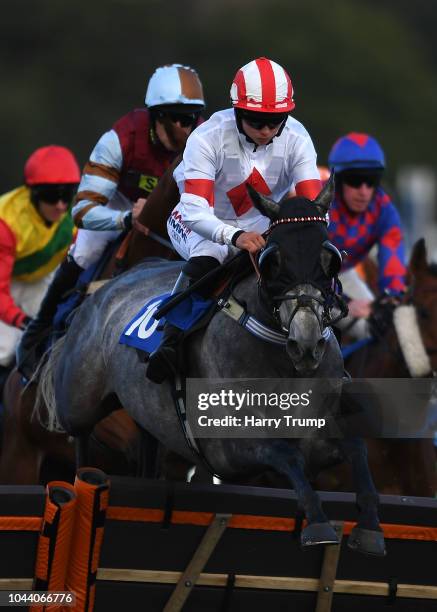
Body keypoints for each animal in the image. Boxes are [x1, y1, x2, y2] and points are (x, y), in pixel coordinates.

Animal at [37, 179, 384, 556]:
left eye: (330, 258)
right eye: (272, 260)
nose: (306, 344)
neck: (285, 365)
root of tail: (102, 290)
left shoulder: (319, 432)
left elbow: (356, 448)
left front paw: (370, 526)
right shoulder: (228, 448)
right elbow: (286, 453)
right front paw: (318, 523)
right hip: (78, 404)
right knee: (81, 442)